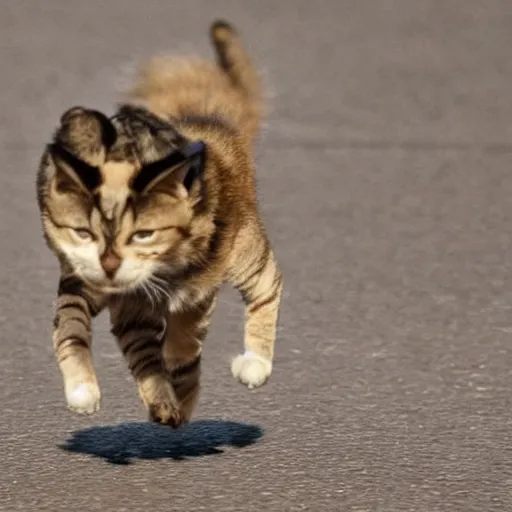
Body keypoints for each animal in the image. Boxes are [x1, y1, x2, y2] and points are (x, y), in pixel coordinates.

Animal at [36, 20, 284, 428]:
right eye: (83, 233)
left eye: (143, 234)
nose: (109, 264)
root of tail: (210, 120)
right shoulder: (82, 285)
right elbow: (71, 330)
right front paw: (82, 391)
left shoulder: (198, 286)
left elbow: (184, 336)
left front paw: (179, 367)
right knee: (147, 354)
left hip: (246, 253)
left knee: (267, 287)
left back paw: (253, 366)